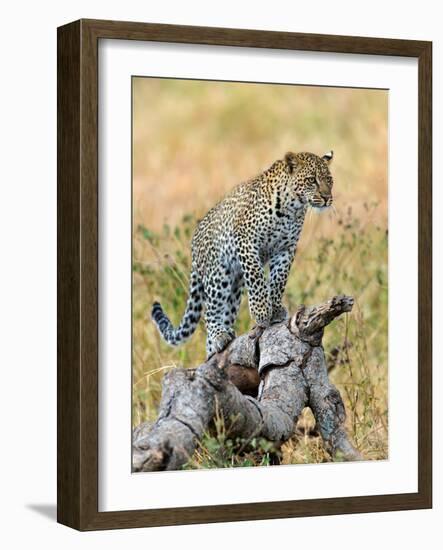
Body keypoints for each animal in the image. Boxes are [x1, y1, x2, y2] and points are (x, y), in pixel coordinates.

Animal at [151, 151, 334, 358]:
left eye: (329, 180)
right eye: (312, 180)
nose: (327, 197)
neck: (292, 209)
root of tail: (194, 244)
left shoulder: (285, 250)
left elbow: (278, 280)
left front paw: (276, 309)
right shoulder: (247, 242)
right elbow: (257, 279)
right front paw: (262, 313)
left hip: (234, 287)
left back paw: (215, 348)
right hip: (218, 275)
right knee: (210, 310)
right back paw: (219, 336)